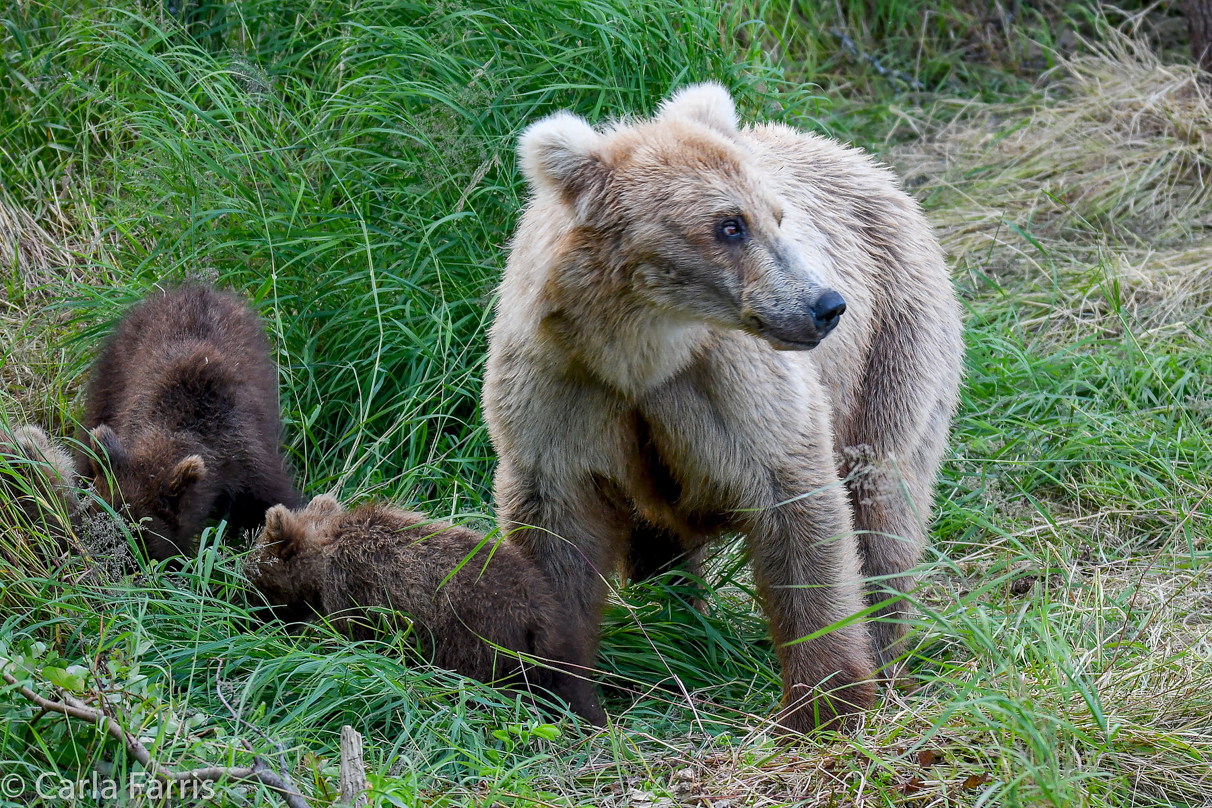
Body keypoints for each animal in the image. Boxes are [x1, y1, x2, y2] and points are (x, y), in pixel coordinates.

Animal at [247, 496, 606, 721]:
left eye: (254, 578)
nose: (247, 613)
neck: (320, 558)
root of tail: (542, 609)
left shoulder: (352, 589)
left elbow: (344, 634)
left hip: (478, 633)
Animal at [482, 85, 964, 736]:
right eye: (728, 225)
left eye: (776, 216)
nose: (825, 305)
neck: (640, 356)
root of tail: (869, 165)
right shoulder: (562, 392)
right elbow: (557, 539)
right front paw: (563, 693)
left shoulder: (730, 388)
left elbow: (799, 510)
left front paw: (826, 699)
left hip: (893, 349)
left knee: (882, 501)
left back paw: (885, 651)